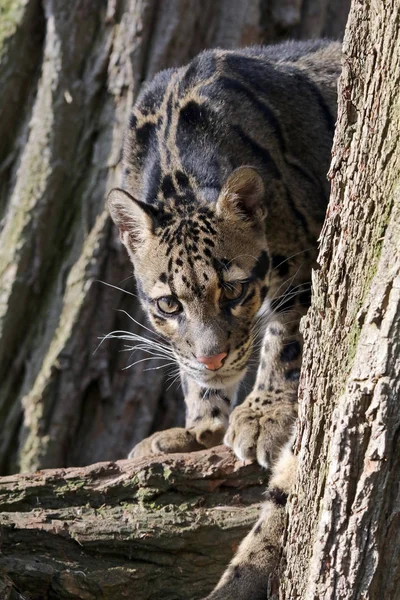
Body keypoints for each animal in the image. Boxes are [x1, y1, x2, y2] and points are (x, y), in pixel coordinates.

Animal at [108, 39, 340, 596]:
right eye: (169, 304)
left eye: (233, 290)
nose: (214, 358)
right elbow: (188, 370)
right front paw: (200, 426)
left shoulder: (304, 259)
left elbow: (287, 338)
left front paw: (262, 415)